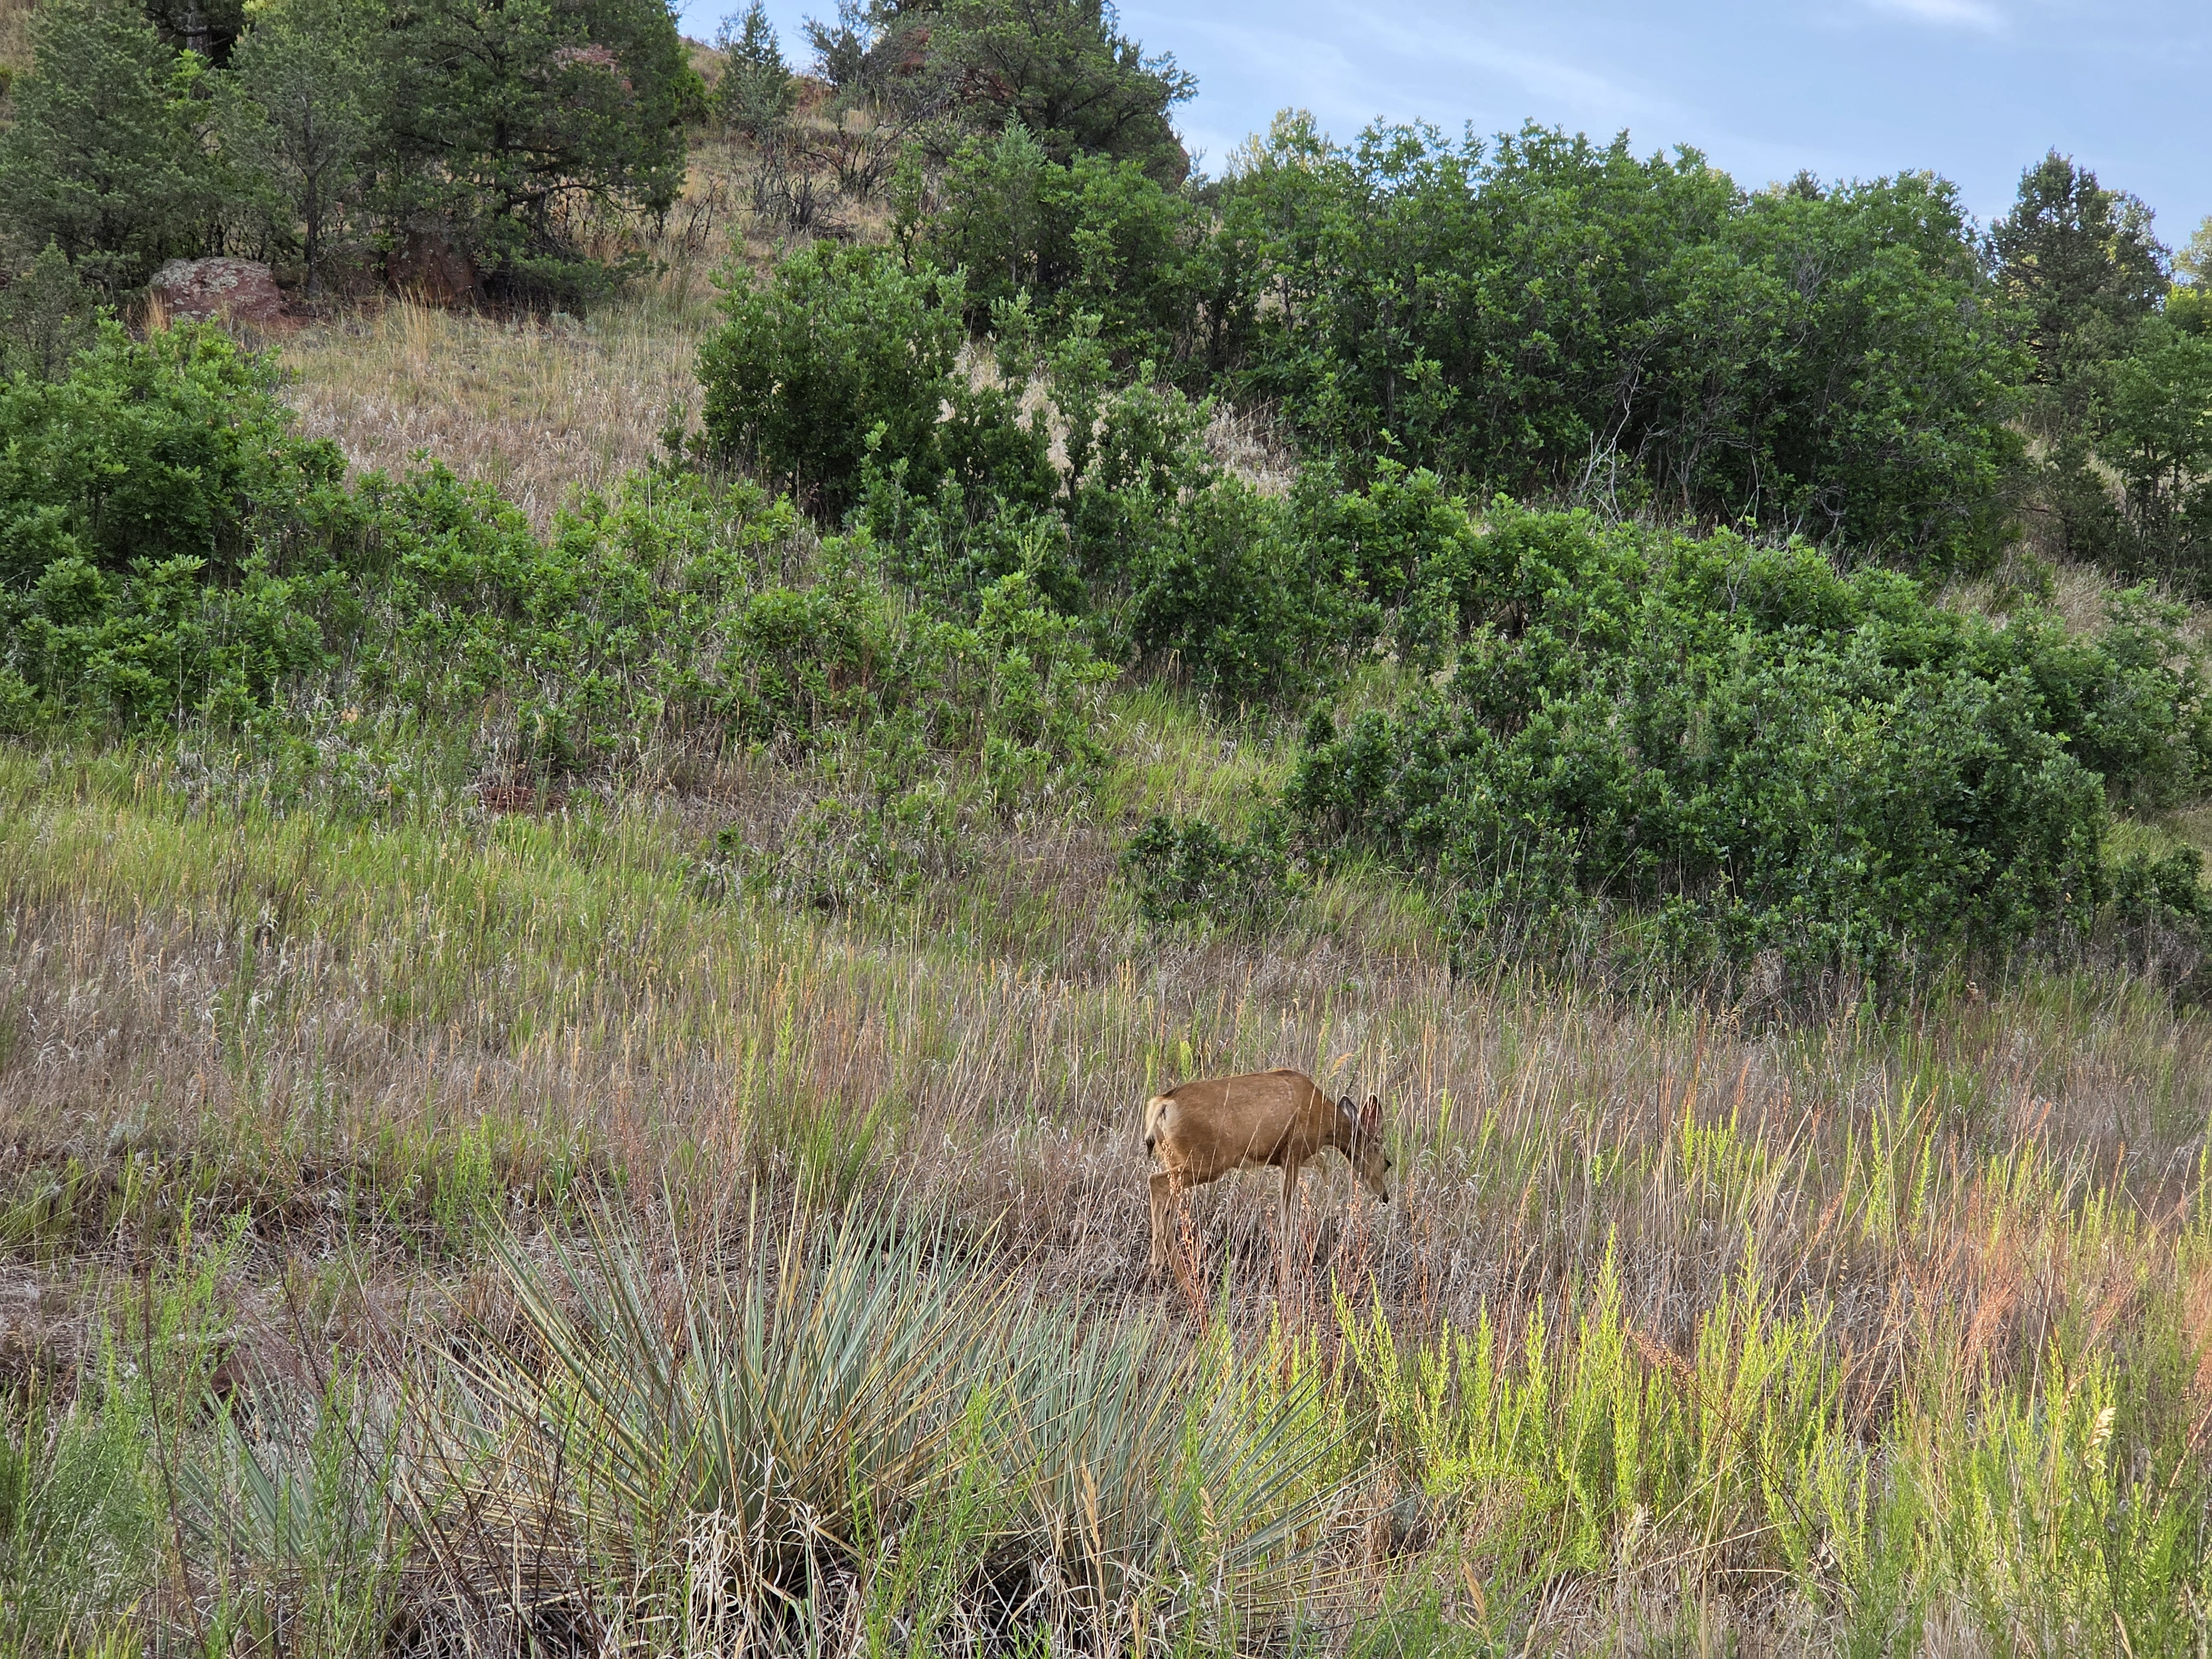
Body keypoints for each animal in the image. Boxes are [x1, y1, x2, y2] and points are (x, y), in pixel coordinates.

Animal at [1142, 1068, 1391, 1277]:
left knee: (1167, 1198)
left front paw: (1333, 1212)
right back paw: (1163, 1266)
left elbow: (1323, 1165)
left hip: (1176, 1157)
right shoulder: (1294, 1153)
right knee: (1156, 1183)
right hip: (1207, 1163)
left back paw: (1162, 1264)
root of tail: (1162, 1104)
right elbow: (1287, 1212)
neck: (1325, 1120)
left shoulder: (1288, 1156)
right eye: (1387, 1162)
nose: (1385, 1195)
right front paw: (1286, 1270)